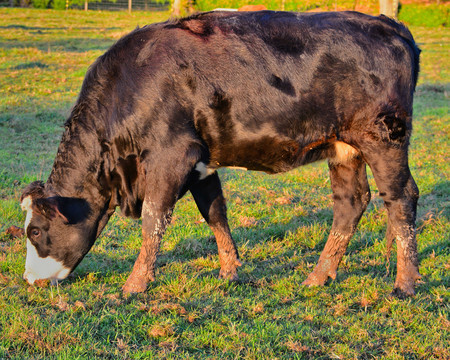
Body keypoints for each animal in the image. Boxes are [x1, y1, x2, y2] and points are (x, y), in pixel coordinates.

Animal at [20, 11, 422, 298]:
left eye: (36, 231)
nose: (27, 278)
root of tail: (390, 25)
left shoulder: (171, 156)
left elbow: (154, 219)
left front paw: (135, 285)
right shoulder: (201, 162)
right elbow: (214, 211)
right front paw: (230, 270)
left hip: (384, 136)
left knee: (401, 197)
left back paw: (406, 282)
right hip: (344, 147)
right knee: (351, 202)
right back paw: (318, 276)